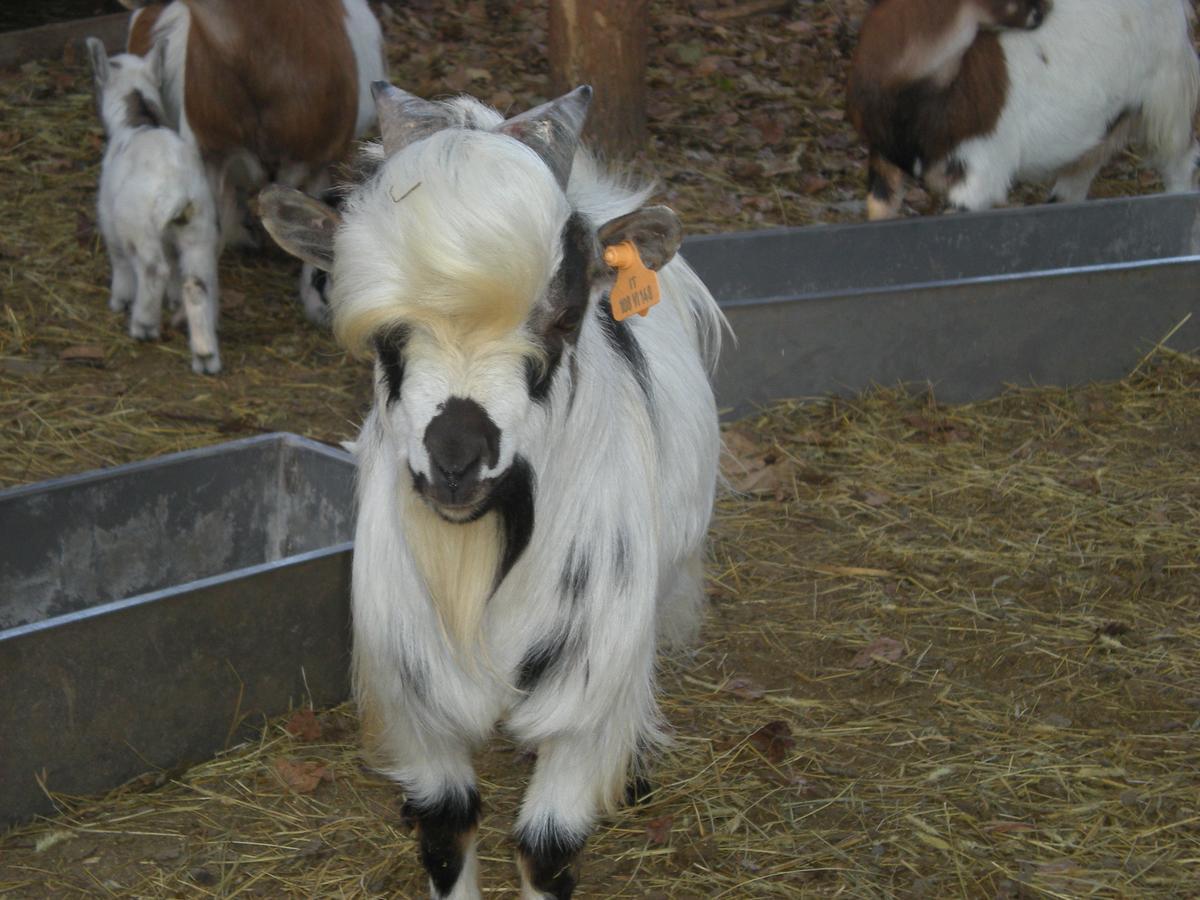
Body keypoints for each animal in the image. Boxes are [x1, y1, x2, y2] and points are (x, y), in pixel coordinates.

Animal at [844, 0, 1200, 217]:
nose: (1042, 9)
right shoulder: (883, 161)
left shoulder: (981, 170)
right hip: (1106, 124)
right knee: (1078, 176)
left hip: (1166, 92)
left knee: (1179, 161)